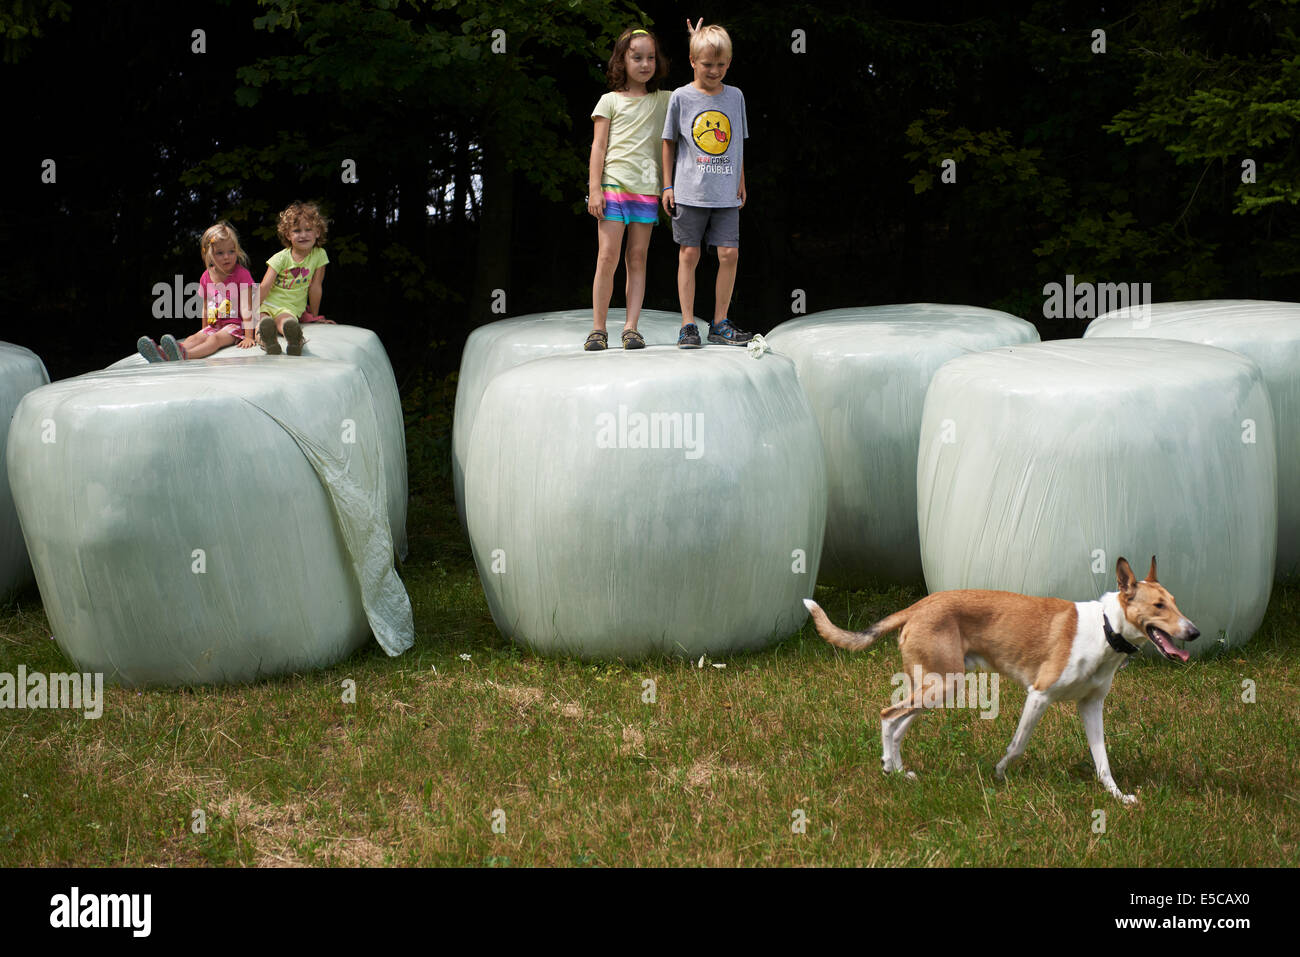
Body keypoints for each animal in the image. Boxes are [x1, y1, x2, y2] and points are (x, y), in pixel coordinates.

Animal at [800, 556, 1196, 806]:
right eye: (1159, 606)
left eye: (1176, 602)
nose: (1194, 632)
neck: (1105, 628)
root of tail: (917, 606)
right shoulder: (1039, 695)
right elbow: (1018, 745)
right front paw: (1000, 774)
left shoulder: (1091, 706)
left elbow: (1103, 762)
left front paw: (1118, 797)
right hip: (943, 686)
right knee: (886, 715)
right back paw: (886, 767)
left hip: (935, 688)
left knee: (898, 726)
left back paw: (898, 772)